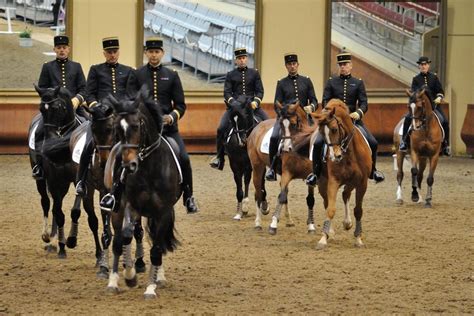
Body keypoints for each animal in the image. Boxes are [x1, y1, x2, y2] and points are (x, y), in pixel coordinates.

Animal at [104, 89, 179, 298]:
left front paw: (151, 287)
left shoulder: (163, 212)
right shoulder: (131, 205)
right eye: (117, 130)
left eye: (137, 126)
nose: (128, 165)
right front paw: (129, 276)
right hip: (118, 208)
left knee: (156, 242)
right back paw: (115, 279)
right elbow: (126, 236)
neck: (150, 168)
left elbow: (157, 248)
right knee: (121, 239)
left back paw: (158, 276)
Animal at [246, 100, 316, 235]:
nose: (285, 148)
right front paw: (273, 225)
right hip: (257, 167)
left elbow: (310, 199)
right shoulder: (287, 173)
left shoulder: (310, 177)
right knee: (258, 194)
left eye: (294, 124)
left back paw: (289, 220)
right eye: (281, 125)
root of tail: (257, 127)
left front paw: (311, 226)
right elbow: (281, 196)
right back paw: (258, 223)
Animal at [310, 99, 372, 249]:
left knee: (345, 194)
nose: (334, 157)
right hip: (323, 182)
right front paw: (323, 238)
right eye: (321, 132)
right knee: (328, 201)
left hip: (352, 182)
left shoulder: (362, 183)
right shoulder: (334, 180)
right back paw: (331, 231)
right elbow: (330, 209)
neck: (349, 153)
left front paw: (358, 239)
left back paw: (347, 223)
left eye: (334, 129)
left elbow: (358, 210)